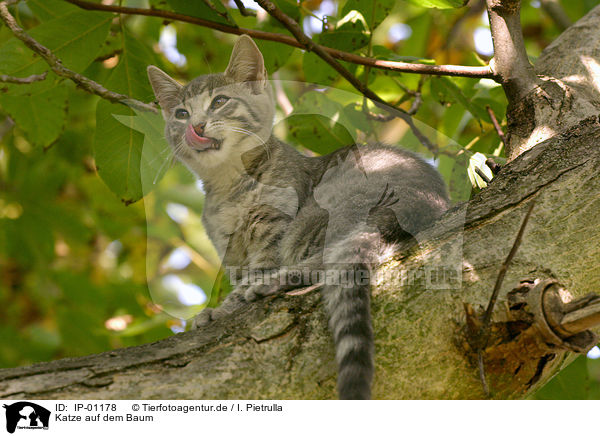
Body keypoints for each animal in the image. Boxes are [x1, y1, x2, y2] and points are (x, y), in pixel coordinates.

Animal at [148, 35, 450, 400]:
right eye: (181, 113)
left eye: (219, 101)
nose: (196, 125)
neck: (228, 185)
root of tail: (425, 201)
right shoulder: (230, 250)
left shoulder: (273, 228)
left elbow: (253, 275)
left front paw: (223, 308)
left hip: (325, 214)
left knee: (325, 261)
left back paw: (270, 284)